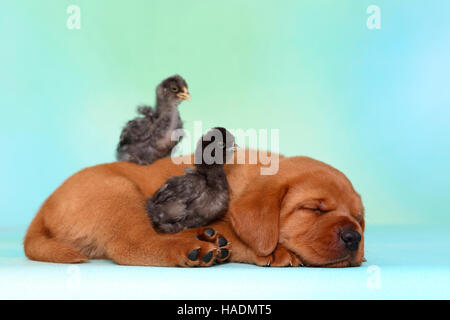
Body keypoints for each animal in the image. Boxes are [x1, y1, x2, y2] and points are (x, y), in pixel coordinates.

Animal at [22, 151, 364, 266]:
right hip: (117, 191)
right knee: (131, 244)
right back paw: (192, 248)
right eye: (314, 209)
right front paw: (275, 252)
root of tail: (42, 208)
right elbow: (239, 234)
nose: (354, 237)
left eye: (359, 218)